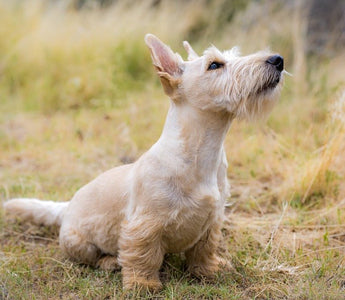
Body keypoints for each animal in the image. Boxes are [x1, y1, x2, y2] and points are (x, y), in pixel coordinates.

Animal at [3, 34, 282, 290]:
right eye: (214, 65)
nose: (277, 60)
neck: (202, 153)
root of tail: (66, 206)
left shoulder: (212, 222)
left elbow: (203, 250)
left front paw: (209, 270)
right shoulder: (145, 226)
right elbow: (143, 257)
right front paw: (143, 285)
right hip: (78, 242)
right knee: (92, 258)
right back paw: (110, 262)